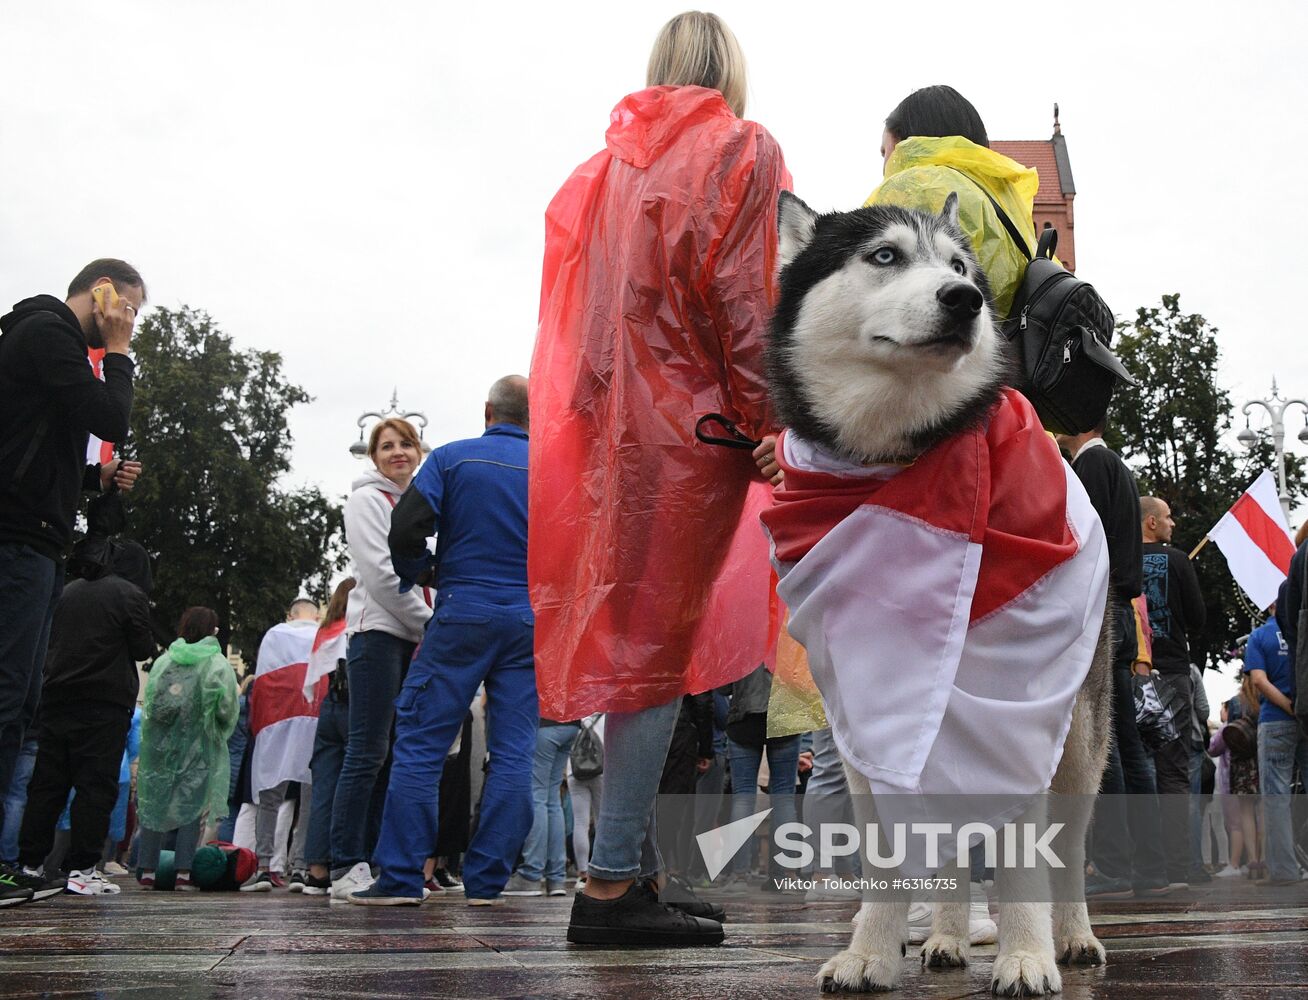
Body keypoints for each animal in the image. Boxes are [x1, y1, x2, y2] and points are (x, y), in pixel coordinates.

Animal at [763, 190, 1114, 993]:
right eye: (885, 255)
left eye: (960, 266)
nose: (964, 300)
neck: (901, 459)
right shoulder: (868, 720)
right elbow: (893, 858)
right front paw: (868, 953)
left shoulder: (1024, 708)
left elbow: (1025, 858)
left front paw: (1025, 956)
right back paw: (948, 939)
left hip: (1079, 741)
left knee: (1072, 847)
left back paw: (1071, 937)